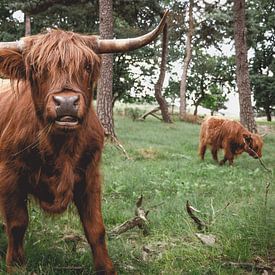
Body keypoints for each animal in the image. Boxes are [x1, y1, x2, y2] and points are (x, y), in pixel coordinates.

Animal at [0, 11, 168, 274]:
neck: (60, 147)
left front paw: (106, 268)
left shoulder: (89, 175)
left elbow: (96, 228)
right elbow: (17, 223)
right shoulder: (9, 173)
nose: (66, 102)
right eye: (36, 67)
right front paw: (16, 265)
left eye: (87, 66)